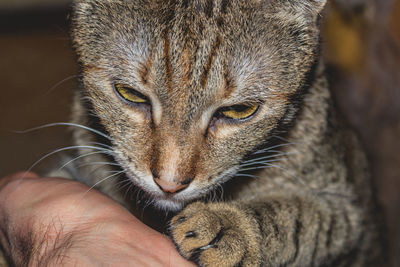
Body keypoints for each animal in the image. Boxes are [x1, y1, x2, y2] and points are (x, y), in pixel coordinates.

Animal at [50, 0, 388, 266]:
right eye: (130, 94)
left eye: (239, 111)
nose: (169, 184)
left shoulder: (350, 218)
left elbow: (301, 219)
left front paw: (233, 226)